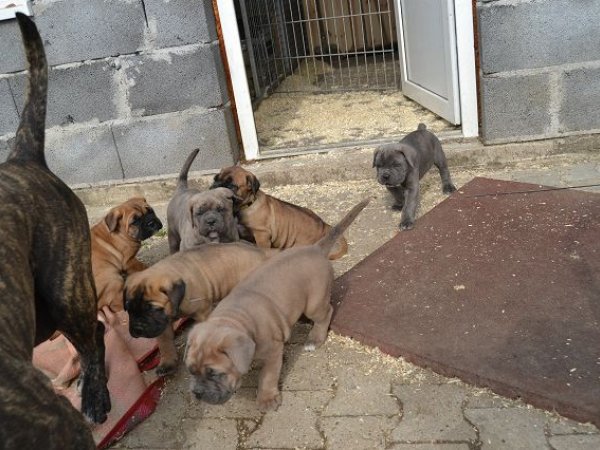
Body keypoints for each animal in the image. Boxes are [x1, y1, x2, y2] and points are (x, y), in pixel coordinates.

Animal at [124, 242, 276, 376]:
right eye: (128, 309)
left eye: (152, 309)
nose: (138, 329)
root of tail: (263, 253)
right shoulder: (162, 324)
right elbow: (164, 343)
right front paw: (167, 363)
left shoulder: (202, 312)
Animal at [184, 198, 369, 411]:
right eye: (191, 370)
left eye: (214, 373)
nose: (197, 393)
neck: (235, 319)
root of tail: (315, 248)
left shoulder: (273, 352)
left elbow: (268, 377)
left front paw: (266, 399)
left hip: (315, 303)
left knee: (326, 313)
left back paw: (314, 339)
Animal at [211, 166, 348, 259]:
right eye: (215, 178)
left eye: (231, 186)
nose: (215, 186)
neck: (245, 206)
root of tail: (324, 225)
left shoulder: (262, 235)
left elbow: (262, 249)